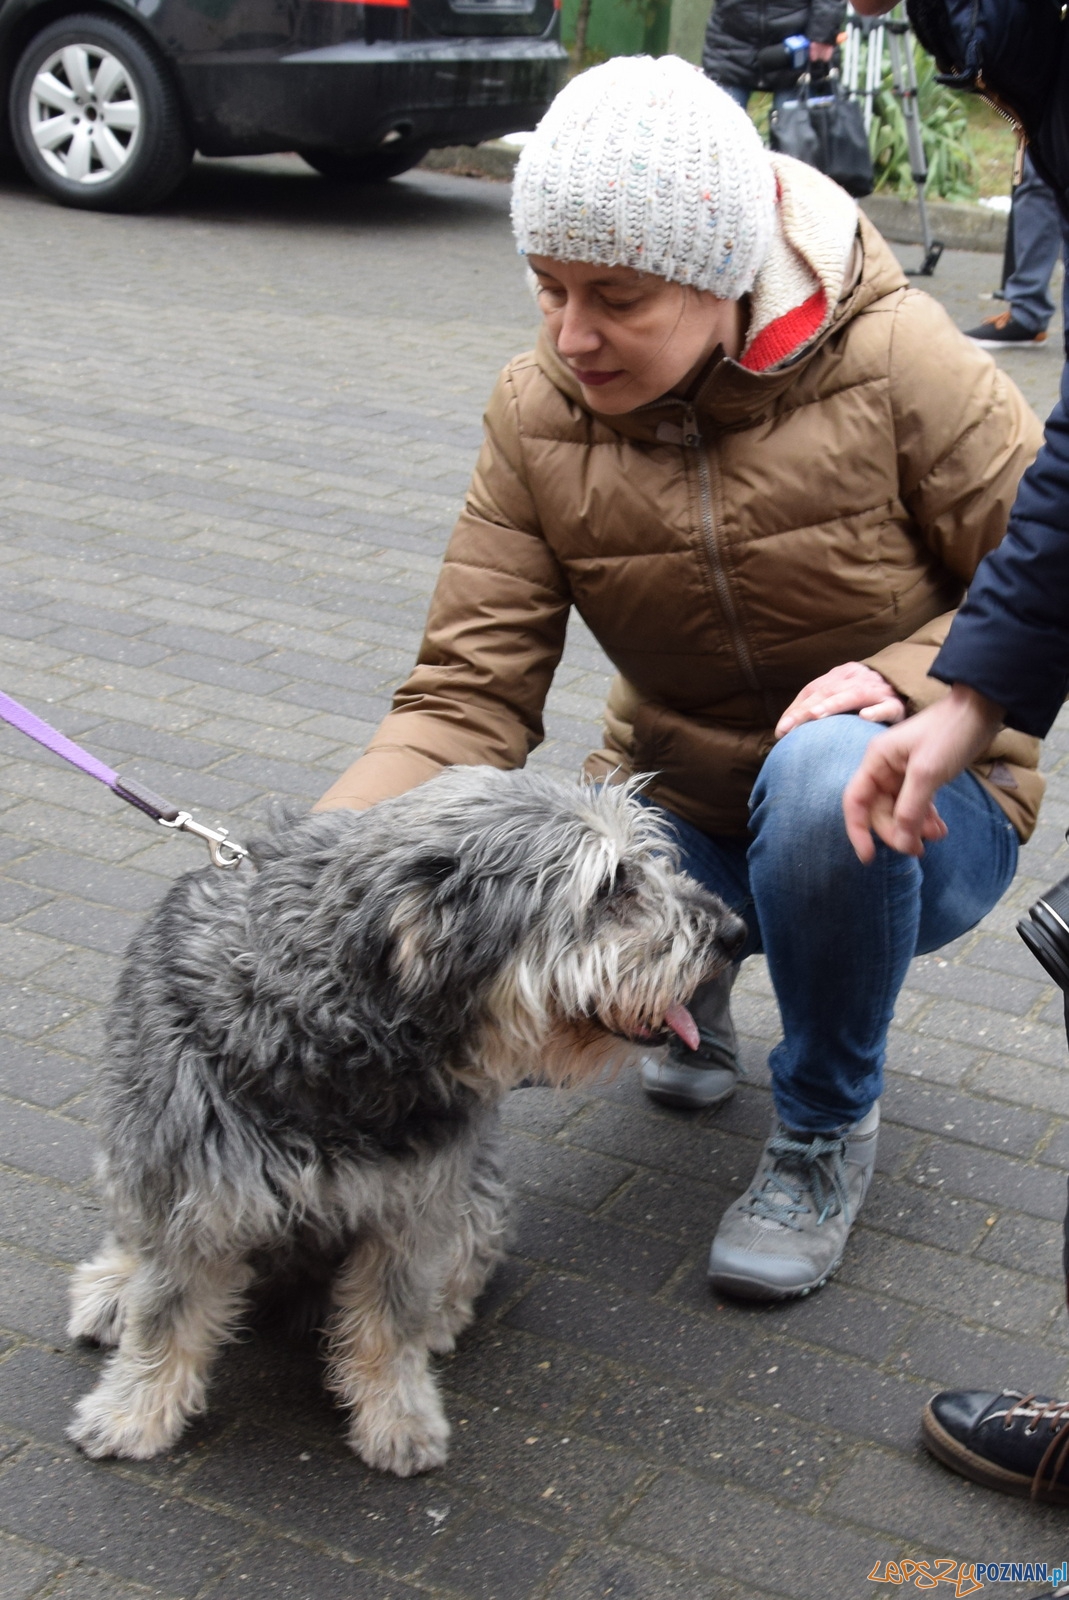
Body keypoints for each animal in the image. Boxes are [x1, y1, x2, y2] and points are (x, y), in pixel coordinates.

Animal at [66, 766, 744, 1476]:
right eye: (611, 885)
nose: (733, 931)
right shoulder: (192, 1199)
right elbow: (164, 1318)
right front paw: (131, 1413)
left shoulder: (412, 1211)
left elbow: (390, 1325)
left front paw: (398, 1417)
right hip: (124, 1161)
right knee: (132, 1240)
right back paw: (112, 1287)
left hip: (476, 1197)